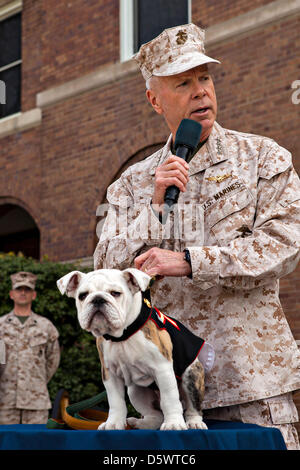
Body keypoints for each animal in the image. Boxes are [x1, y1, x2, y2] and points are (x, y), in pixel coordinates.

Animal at [57, 268, 210, 430]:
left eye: (115, 293)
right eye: (82, 296)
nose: (98, 299)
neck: (122, 335)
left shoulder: (163, 369)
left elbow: (169, 398)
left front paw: (173, 423)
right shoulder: (110, 374)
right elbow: (116, 402)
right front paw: (113, 423)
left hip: (191, 376)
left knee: (192, 406)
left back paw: (194, 422)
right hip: (135, 390)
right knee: (156, 414)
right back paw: (140, 423)